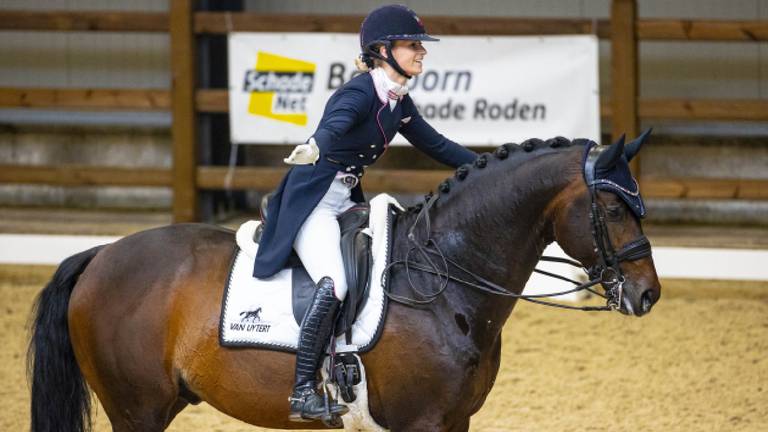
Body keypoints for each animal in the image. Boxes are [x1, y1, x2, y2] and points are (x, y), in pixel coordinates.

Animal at [30, 136, 660, 432]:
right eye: (613, 207)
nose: (647, 293)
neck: (443, 279)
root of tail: (101, 254)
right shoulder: (421, 422)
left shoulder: (455, 419)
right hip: (136, 409)